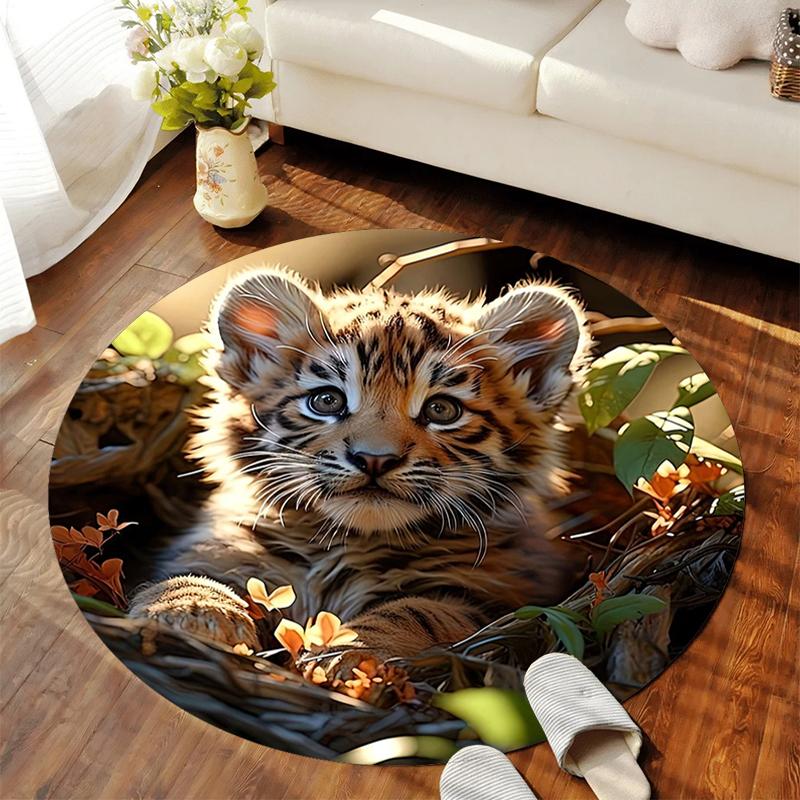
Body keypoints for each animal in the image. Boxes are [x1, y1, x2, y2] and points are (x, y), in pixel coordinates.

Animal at [129, 265, 591, 676]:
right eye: (326, 401)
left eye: (442, 410)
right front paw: (188, 608)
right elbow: (197, 575)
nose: (375, 458)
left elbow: (418, 610)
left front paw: (350, 654)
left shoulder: (503, 601)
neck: (344, 544)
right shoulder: (223, 547)